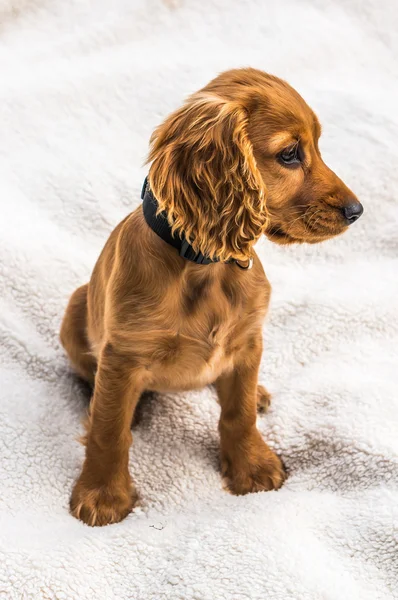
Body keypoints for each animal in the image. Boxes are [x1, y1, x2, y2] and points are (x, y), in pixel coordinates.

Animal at [60, 67, 362, 524]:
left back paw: (259, 393)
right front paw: (102, 493)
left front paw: (252, 466)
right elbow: (109, 429)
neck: (206, 263)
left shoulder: (249, 340)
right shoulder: (123, 353)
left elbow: (238, 413)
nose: (357, 211)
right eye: (290, 154)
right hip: (74, 310)